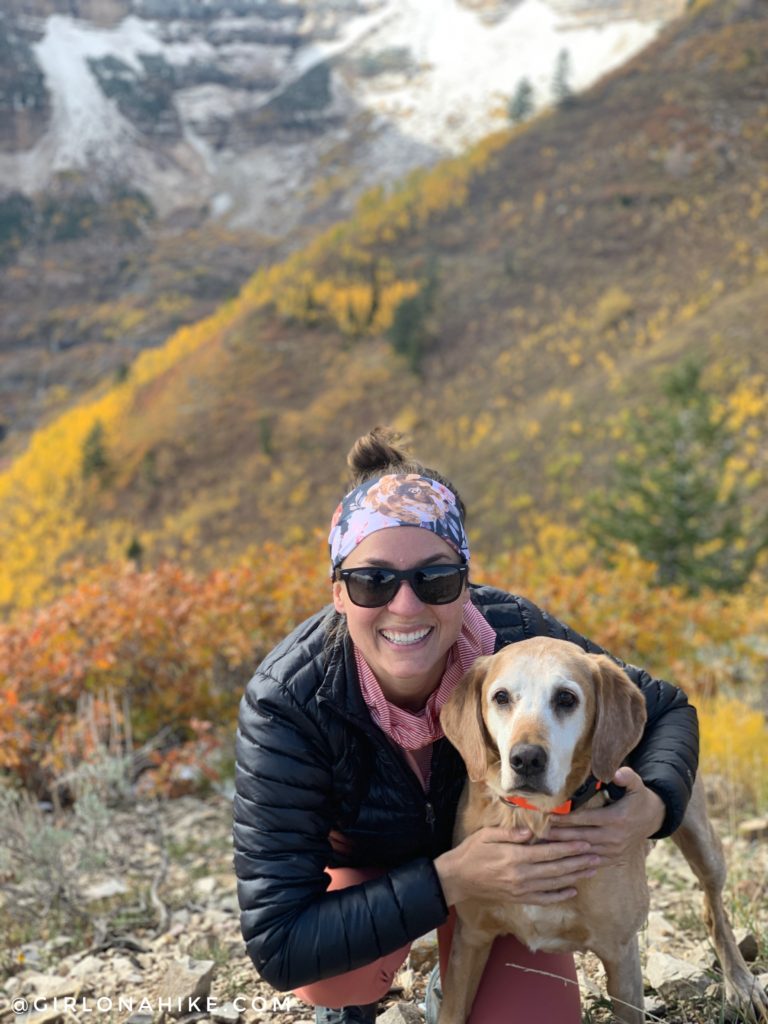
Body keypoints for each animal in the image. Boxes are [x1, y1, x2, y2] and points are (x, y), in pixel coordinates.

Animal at [438, 634, 768, 1019]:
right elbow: (452, 1010)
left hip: (703, 843)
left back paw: (741, 984)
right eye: (501, 697)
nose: (526, 759)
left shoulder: (621, 955)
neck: (537, 818)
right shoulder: (470, 938)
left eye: (566, 698)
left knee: (715, 911)